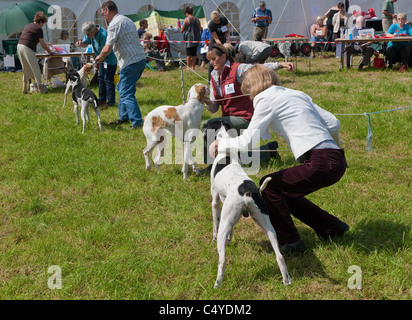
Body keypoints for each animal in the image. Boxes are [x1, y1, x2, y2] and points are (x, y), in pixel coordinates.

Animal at [211, 121, 292, 288]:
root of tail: (248, 190)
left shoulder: (215, 201)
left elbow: (214, 225)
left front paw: (213, 238)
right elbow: (231, 231)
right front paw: (230, 238)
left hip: (225, 223)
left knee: (222, 261)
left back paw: (217, 285)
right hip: (267, 226)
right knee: (280, 256)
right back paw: (286, 280)